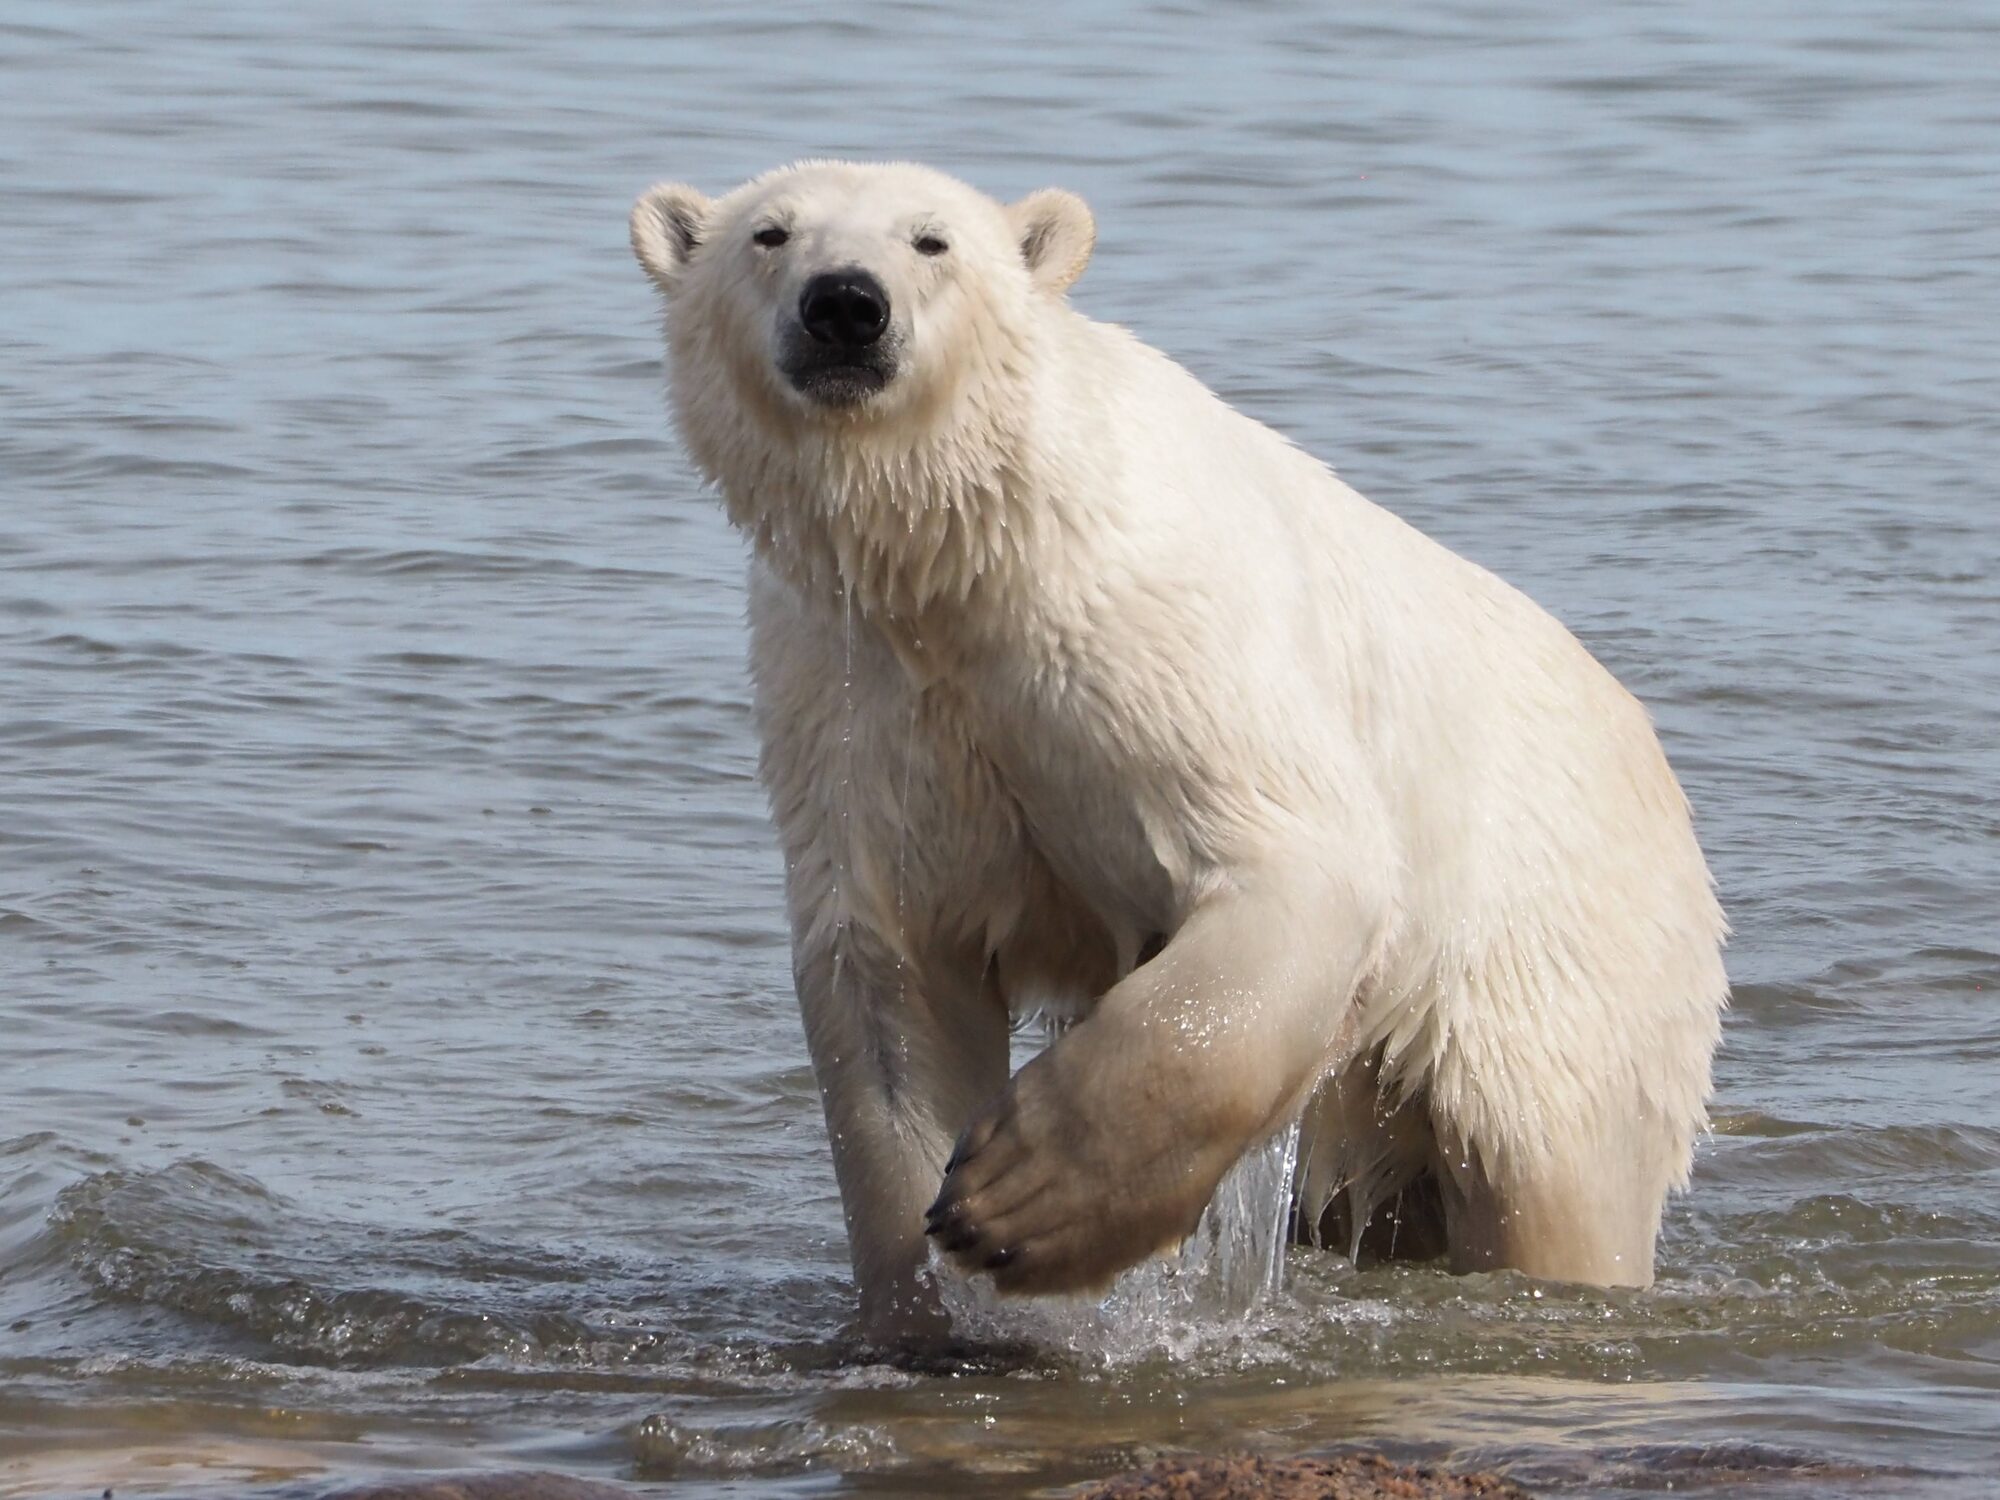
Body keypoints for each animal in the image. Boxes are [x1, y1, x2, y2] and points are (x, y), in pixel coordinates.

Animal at [629, 160, 1728, 1345]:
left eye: (931, 241)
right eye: (770, 235)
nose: (844, 304)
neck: (976, 554)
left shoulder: (1146, 634)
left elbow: (1295, 865)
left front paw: (1020, 1201)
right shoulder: (854, 690)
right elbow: (890, 981)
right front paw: (931, 1307)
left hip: (1562, 956)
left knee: (1552, 1181)